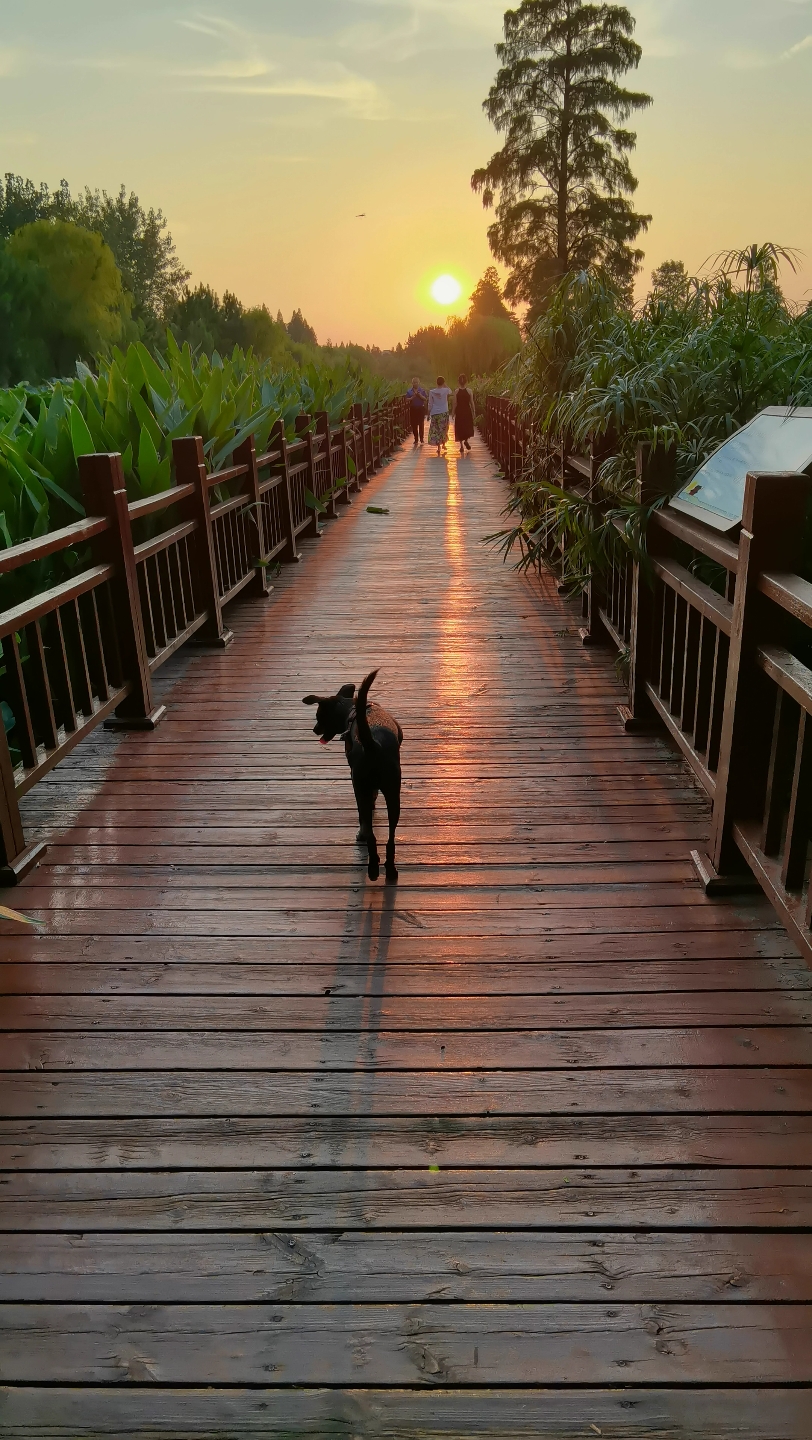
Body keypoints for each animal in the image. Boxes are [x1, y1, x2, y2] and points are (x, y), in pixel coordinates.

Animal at [300, 668, 403, 881]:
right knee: (390, 838)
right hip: (393, 794)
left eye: (319, 715)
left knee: (369, 831)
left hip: (360, 788)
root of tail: (373, 745)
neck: (353, 711)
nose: (314, 730)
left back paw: (373, 869)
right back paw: (390, 870)